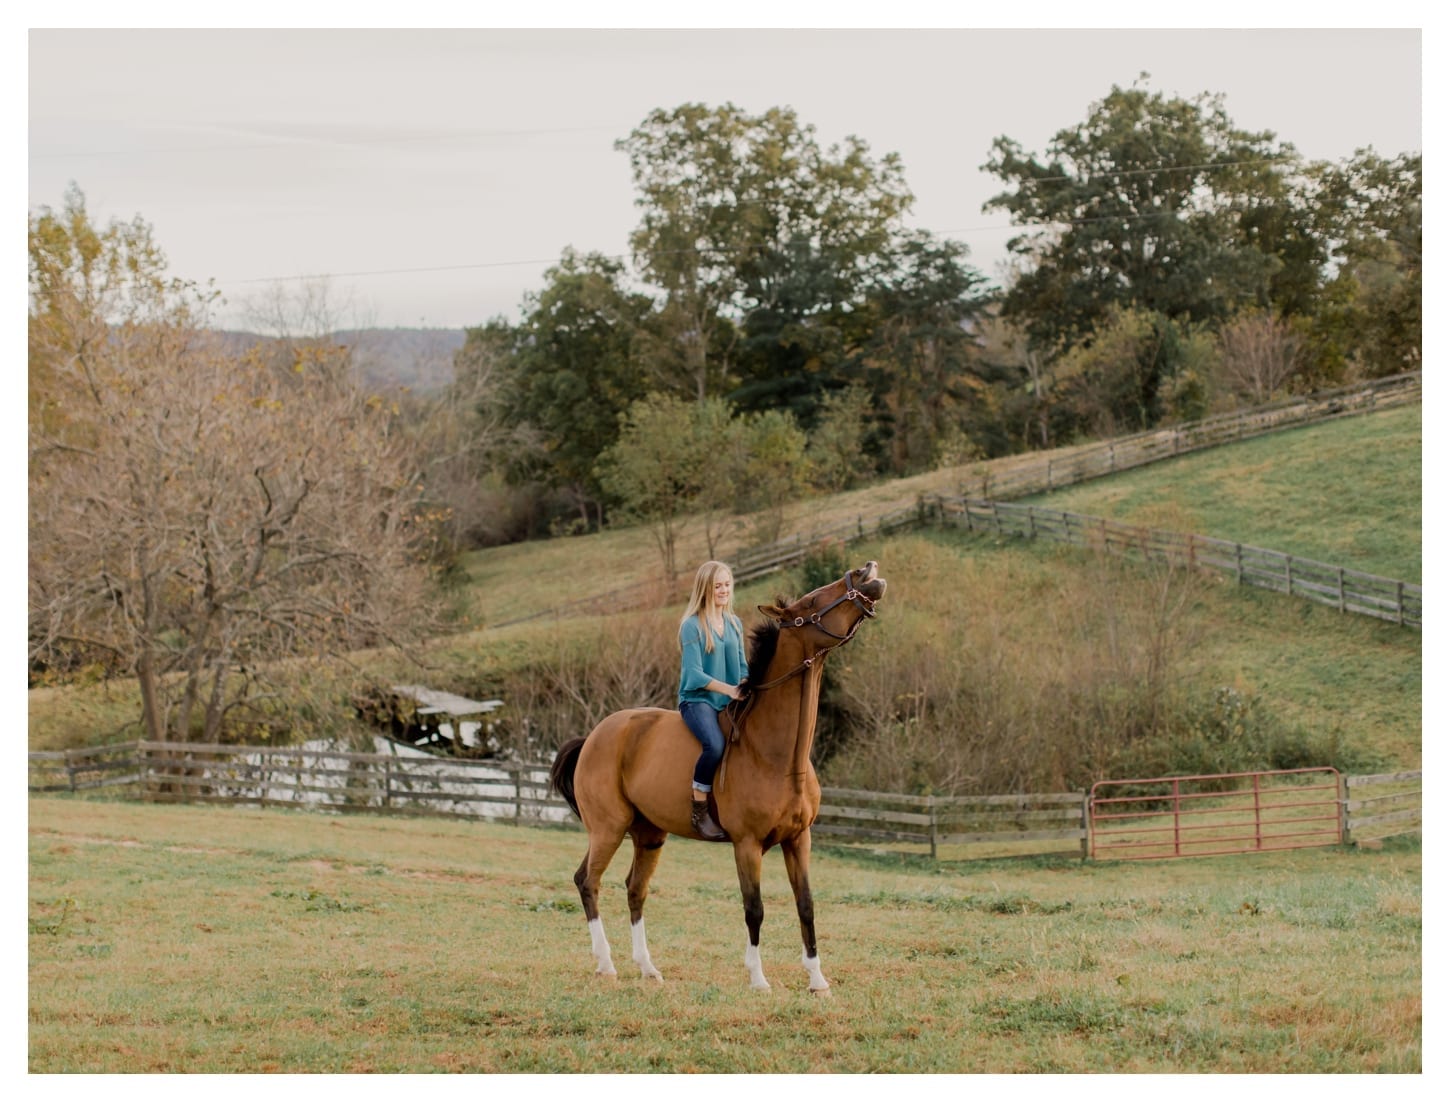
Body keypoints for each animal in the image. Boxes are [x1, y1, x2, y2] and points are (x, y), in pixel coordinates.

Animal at [548, 553, 881, 991]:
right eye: (809, 602)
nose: (866, 571)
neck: (777, 757)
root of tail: (594, 735)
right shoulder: (747, 844)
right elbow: (754, 908)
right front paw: (758, 978)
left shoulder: (799, 839)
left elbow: (806, 905)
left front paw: (817, 979)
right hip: (608, 828)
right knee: (588, 881)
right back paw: (606, 964)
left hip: (648, 835)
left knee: (635, 890)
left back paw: (648, 968)